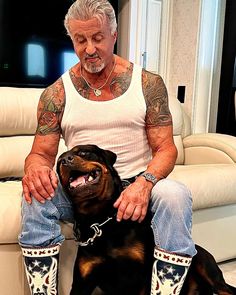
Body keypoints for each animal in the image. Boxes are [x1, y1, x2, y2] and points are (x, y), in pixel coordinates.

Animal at [56, 145, 235, 294]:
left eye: (83, 152)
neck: (99, 218)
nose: (65, 160)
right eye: (58, 163)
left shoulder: (144, 275)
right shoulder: (82, 282)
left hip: (206, 267)